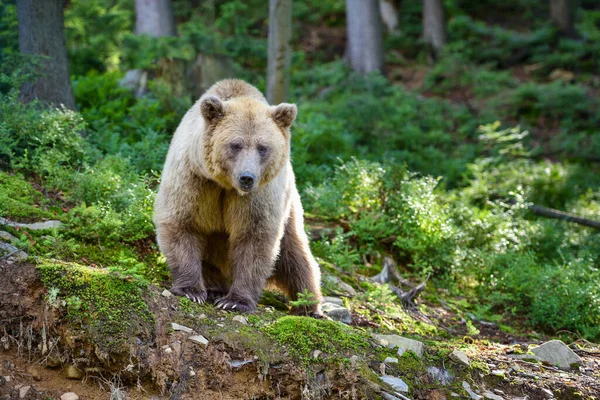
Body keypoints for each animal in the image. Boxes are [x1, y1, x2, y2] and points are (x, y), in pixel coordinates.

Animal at [155, 79, 324, 316]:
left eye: (263, 147)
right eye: (235, 145)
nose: (247, 177)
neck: (226, 185)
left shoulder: (259, 196)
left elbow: (254, 238)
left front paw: (235, 301)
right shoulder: (194, 179)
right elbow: (182, 223)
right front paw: (191, 290)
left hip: (289, 206)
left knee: (296, 256)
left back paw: (309, 306)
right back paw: (214, 286)